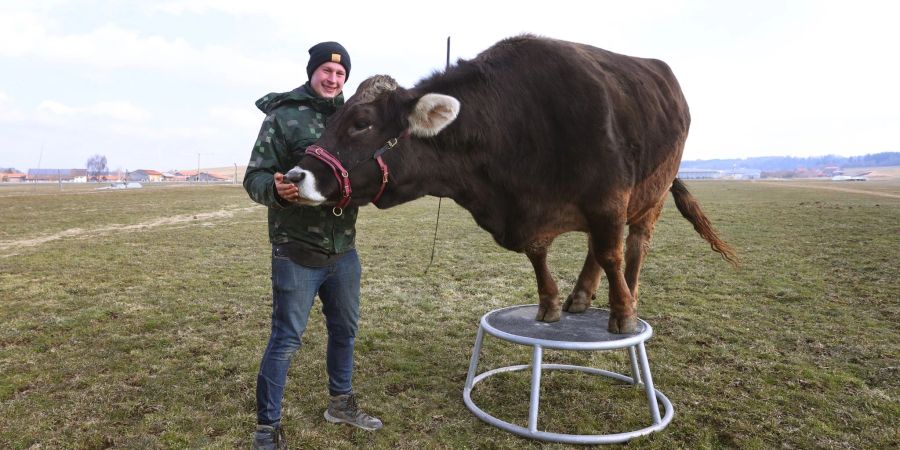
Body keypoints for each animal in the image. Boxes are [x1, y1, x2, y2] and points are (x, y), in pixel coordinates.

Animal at [284, 35, 736, 332]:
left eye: (361, 123)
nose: (294, 176)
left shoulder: (609, 197)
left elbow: (612, 253)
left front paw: (623, 314)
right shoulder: (533, 212)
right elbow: (541, 256)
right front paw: (551, 304)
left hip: (651, 195)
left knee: (635, 244)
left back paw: (629, 294)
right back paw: (580, 296)